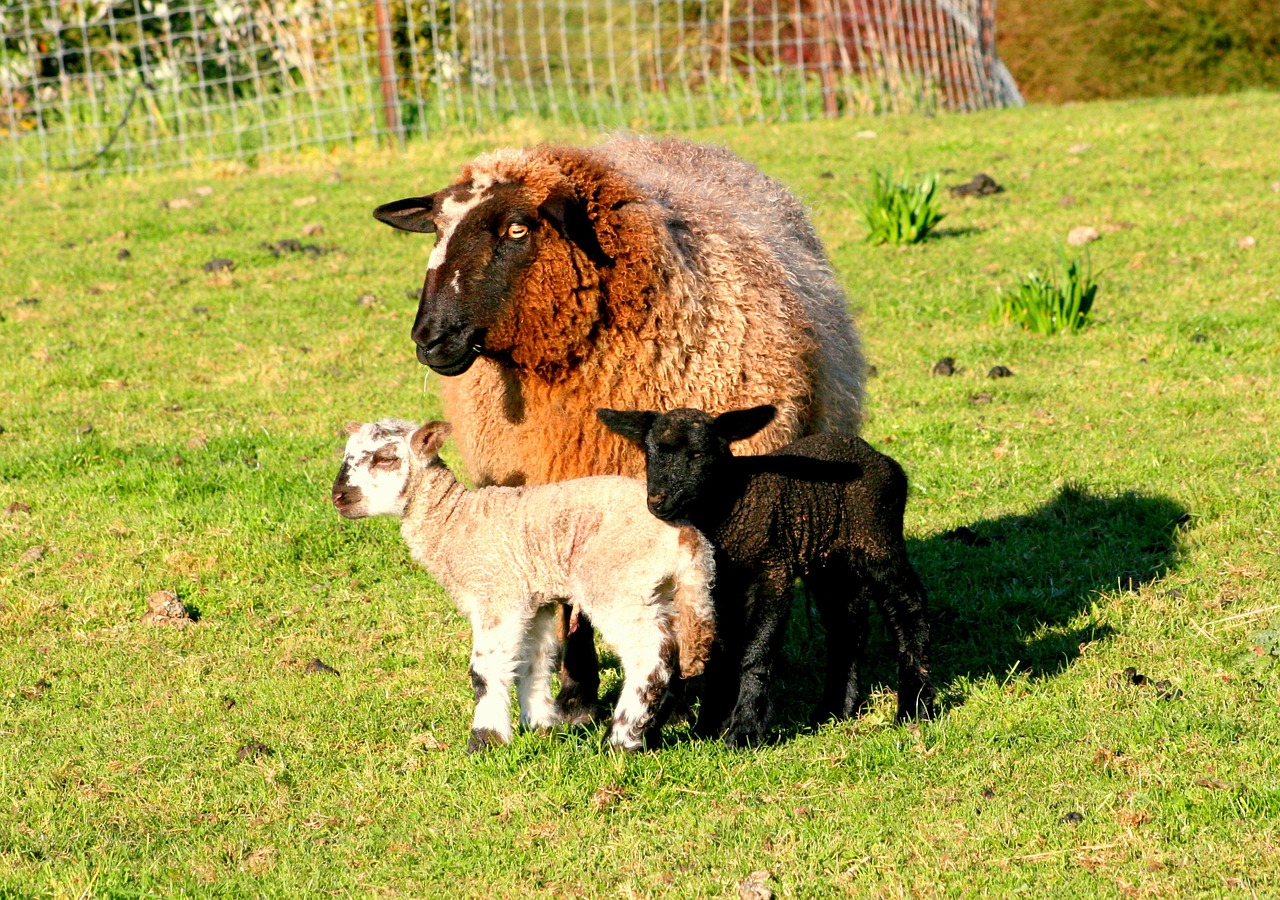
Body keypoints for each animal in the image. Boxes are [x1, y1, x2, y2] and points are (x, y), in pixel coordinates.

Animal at [332, 417, 721, 752]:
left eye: (385, 458)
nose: (338, 497)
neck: (455, 522)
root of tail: (686, 536)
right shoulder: (535, 600)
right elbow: (534, 661)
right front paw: (539, 726)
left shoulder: (496, 592)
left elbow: (485, 671)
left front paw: (485, 740)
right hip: (665, 590)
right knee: (675, 650)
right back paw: (649, 732)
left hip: (616, 582)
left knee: (648, 655)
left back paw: (621, 740)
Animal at [593, 404, 936, 747]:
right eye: (649, 453)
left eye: (698, 453)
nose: (657, 502)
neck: (732, 506)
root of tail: (876, 455)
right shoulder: (720, 585)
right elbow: (721, 649)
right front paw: (708, 725)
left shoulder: (772, 570)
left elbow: (755, 651)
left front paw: (744, 730)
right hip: (832, 563)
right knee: (847, 627)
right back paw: (834, 710)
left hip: (878, 540)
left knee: (908, 607)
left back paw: (915, 707)